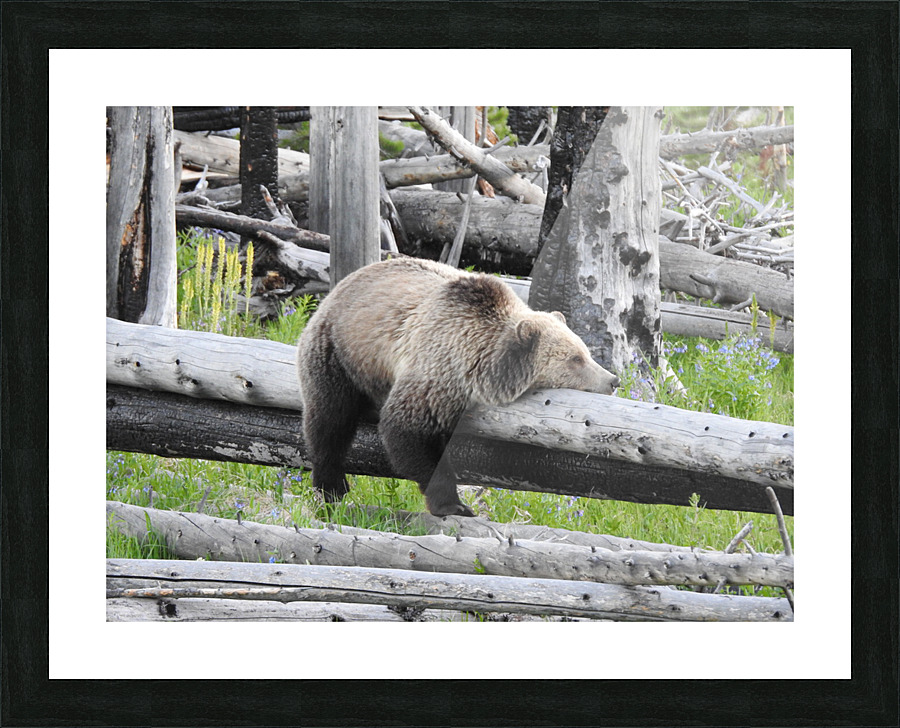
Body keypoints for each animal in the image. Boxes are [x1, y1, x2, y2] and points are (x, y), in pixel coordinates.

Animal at [296, 257, 620, 517]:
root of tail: (339, 286)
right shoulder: (437, 369)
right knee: (329, 422)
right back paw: (331, 487)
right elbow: (406, 430)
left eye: (586, 352)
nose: (613, 381)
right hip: (339, 354)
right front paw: (454, 505)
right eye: (575, 359)